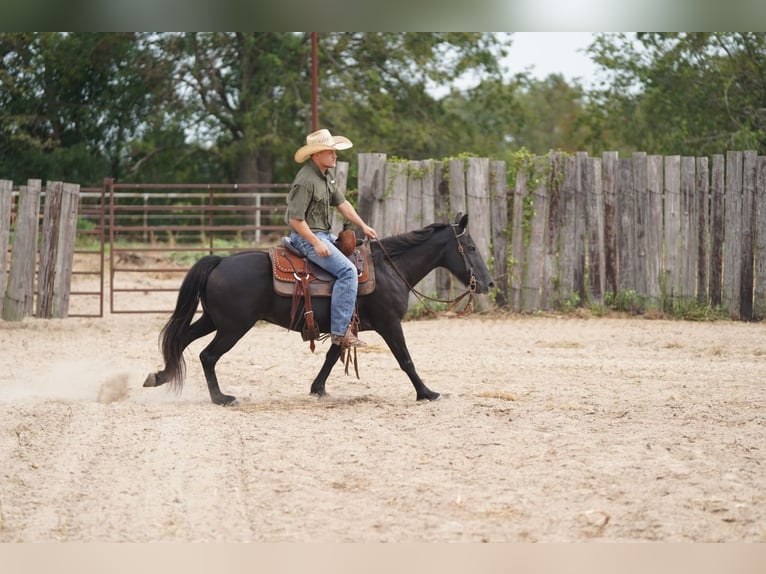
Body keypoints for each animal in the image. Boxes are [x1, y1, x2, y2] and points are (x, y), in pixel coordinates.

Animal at [142, 214, 496, 408]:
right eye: (472, 248)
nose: (489, 283)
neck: (389, 269)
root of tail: (219, 261)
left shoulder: (346, 323)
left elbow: (332, 355)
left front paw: (318, 389)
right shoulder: (389, 323)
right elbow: (405, 359)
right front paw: (427, 392)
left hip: (214, 319)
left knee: (181, 340)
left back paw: (160, 376)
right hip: (233, 326)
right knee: (207, 355)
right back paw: (222, 398)